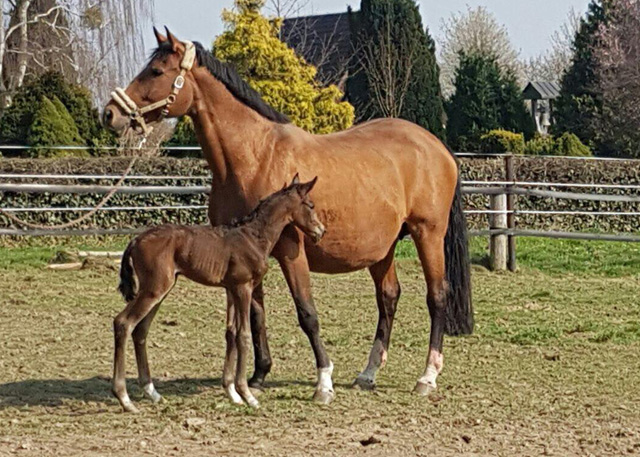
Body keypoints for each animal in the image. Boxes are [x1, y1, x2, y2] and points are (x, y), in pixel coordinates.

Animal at [112, 176, 322, 412]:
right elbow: (244, 335)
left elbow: (231, 333)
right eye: (311, 205)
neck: (253, 237)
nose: (320, 231)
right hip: (154, 289)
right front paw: (247, 395)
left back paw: (152, 392)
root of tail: (135, 240)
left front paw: (232, 393)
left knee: (141, 330)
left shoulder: (230, 289)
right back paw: (125, 399)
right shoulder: (243, 287)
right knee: (123, 323)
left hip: (159, 290)